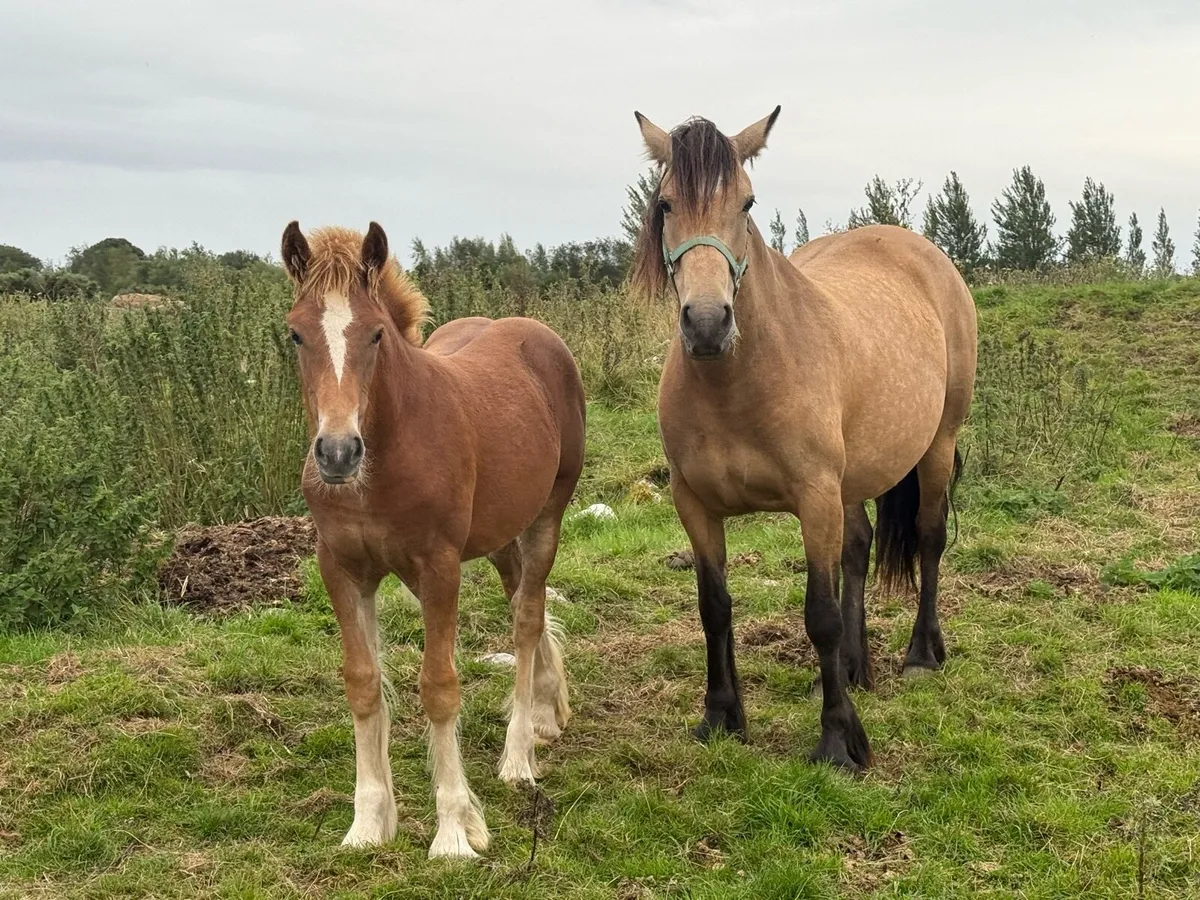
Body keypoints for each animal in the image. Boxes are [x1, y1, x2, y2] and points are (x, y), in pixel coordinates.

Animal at [280, 221, 586, 858]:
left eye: (375, 333)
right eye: (295, 333)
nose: (338, 453)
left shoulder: (439, 567)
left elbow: (440, 686)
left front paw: (454, 830)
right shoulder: (341, 568)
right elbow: (363, 684)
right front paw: (368, 823)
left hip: (547, 514)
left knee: (527, 617)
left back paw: (518, 755)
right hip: (499, 533)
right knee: (524, 602)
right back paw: (546, 712)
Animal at [630, 108, 977, 772]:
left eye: (746, 201)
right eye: (664, 204)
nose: (707, 324)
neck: (737, 383)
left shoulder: (814, 499)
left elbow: (820, 615)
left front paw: (839, 740)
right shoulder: (695, 504)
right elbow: (714, 607)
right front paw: (722, 715)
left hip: (937, 445)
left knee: (928, 537)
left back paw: (921, 654)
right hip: (854, 478)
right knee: (859, 549)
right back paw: (852, 668)